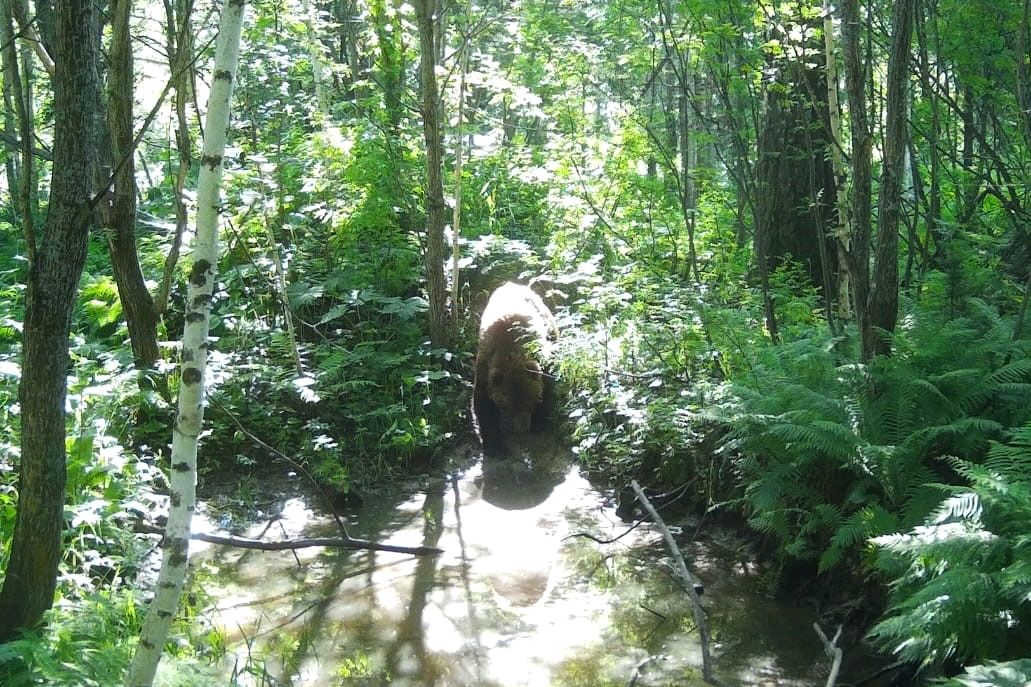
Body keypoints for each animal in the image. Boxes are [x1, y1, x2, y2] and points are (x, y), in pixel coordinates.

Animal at [473, 282, 558, 455]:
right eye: (508, 406)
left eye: (529, 402)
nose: (521, 429)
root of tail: (512, 283)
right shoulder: (485, 367)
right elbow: (483, 405)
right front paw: (495, 447)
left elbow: (547, 387)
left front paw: (539, 422)